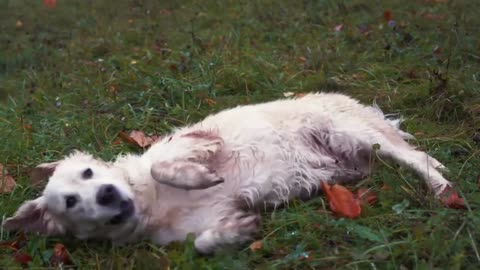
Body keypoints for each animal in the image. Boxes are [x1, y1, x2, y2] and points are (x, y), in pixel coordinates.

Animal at [4, 92, 454, 253]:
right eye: (70, 202)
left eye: (87, 173)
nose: (106, 195)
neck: (150, 203)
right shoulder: (203, 221)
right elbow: (203, 242)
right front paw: (234, 233)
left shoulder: (199, 142)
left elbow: (167, 165)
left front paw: (195, 177)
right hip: (358, 157)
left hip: (355, 132)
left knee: (419, 158)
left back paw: (443, 190)